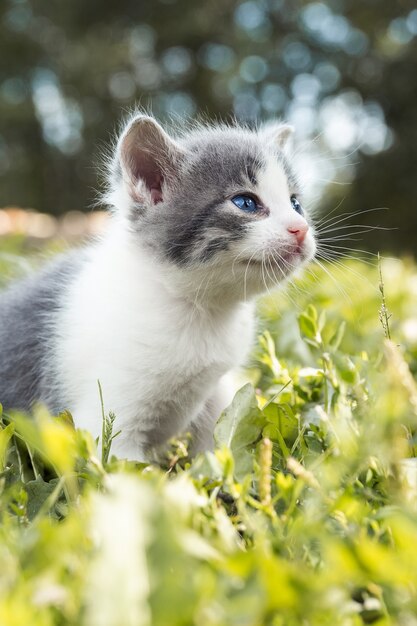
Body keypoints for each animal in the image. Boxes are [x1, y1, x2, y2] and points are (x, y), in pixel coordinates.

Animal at [0, 113, 316, 458]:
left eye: (296, 203)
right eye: (245, 202)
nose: (301, 229)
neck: (201, 310)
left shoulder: (216, 385)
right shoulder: (106, 420)